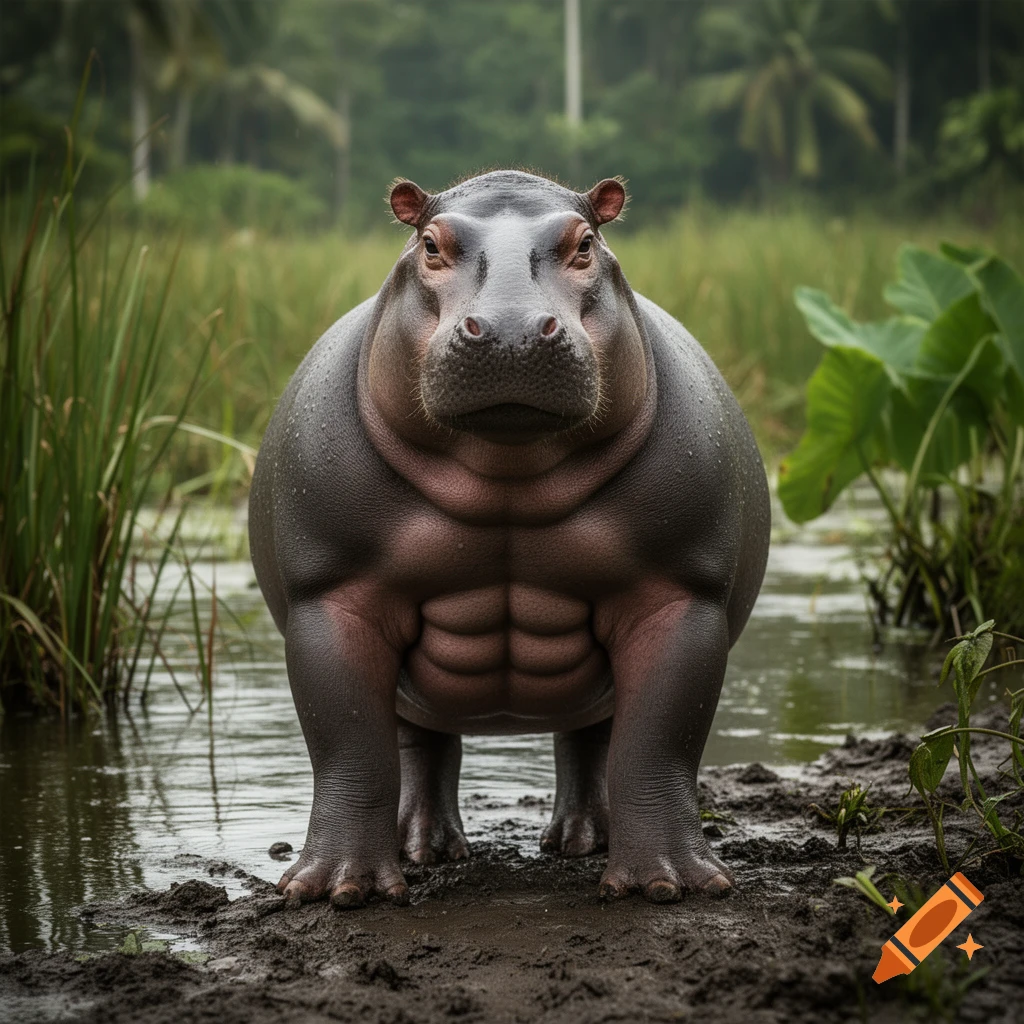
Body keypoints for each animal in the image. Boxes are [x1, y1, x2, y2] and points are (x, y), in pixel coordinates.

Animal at [249, 170, 770, 908]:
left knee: (591, 740)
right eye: (430, 244)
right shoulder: (332, 597)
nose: (511, 330)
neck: (506, 475)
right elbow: (349, 744)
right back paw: (424, 849)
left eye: (585, 243)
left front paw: (669, 884)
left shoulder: (678, 596)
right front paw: (335, 889)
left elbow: (658, 742)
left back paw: (583, 842)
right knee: (419, 745)